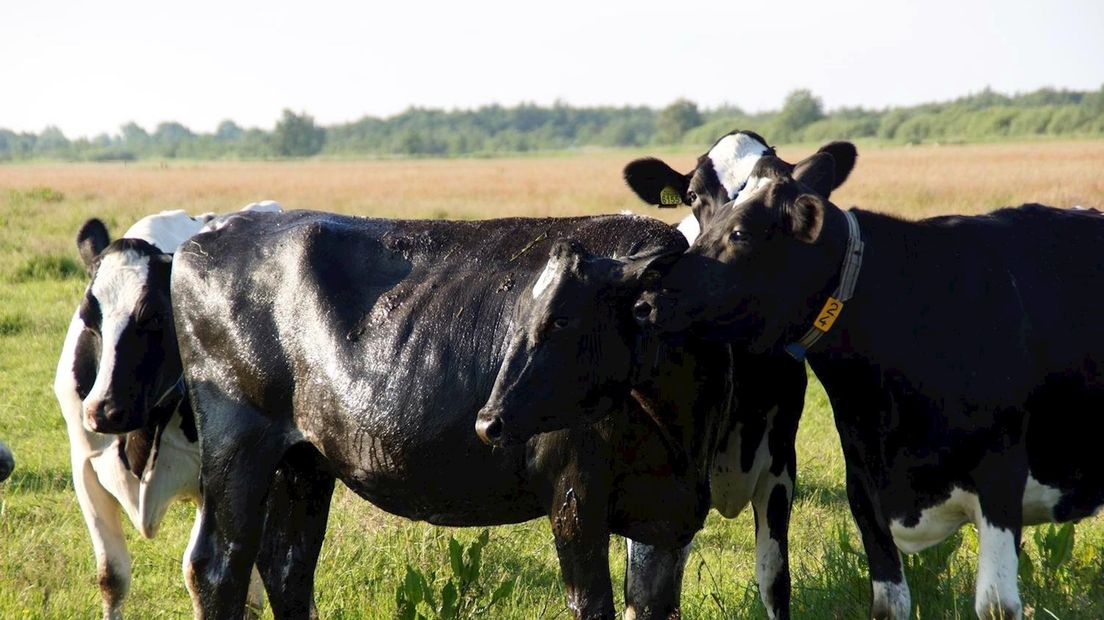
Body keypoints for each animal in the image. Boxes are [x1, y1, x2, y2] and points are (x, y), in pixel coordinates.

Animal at [55, 202, 280, 617]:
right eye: (89, 318)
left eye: (156, 315)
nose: (103, 410)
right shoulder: (84, 468)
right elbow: (111, 575)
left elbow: (199, 575)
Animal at [172, 208, 737, 617]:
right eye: (519, 316)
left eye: (561, 320)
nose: (488, 421)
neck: (678, 433)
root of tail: (213, 232)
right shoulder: (575, 500)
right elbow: (592, 605)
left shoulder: (669, 524)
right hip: (237, 446)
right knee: (219, 567)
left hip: (305, 460)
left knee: (287, 564)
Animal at [635, 141, 1104, 617]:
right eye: (694, 198)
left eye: (740, 234)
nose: (647, 299)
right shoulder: (864, 488)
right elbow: (887, 604)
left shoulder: (1000, 477)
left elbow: (995, 604)